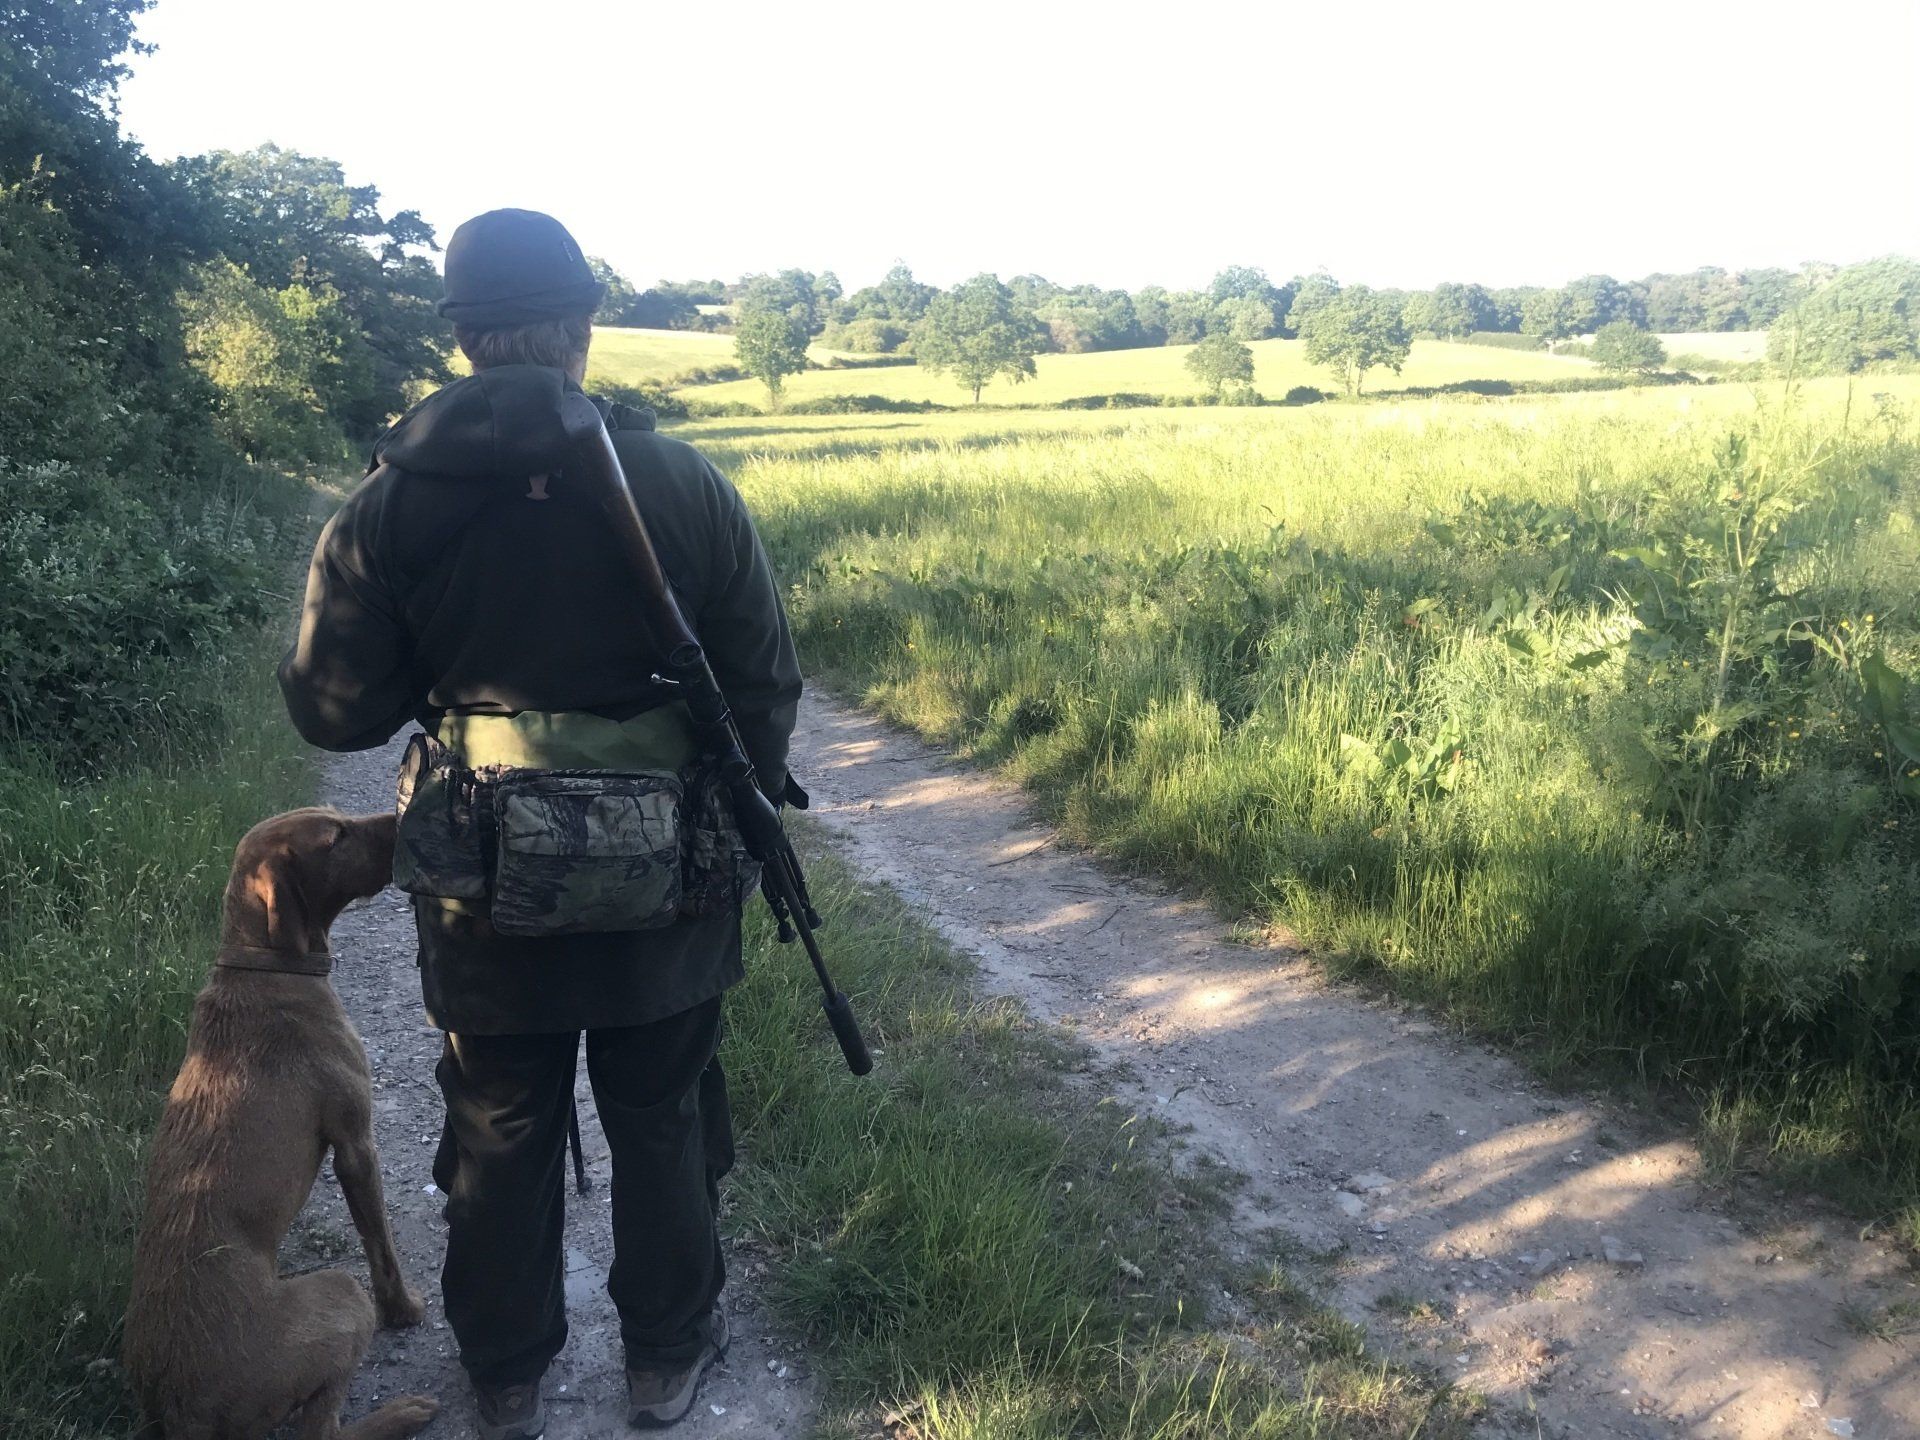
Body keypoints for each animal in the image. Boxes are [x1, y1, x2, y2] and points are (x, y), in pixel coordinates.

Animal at [123, 807, 438, 1440]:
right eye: (336, 837)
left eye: (340, 821)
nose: (403, 817)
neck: (266, 964)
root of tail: (177, 1409)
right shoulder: (355, 1142)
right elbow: (381, 1246)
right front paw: (404, 1312)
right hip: (338, 1291)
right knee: (321, 1429)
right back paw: (402, 1413)